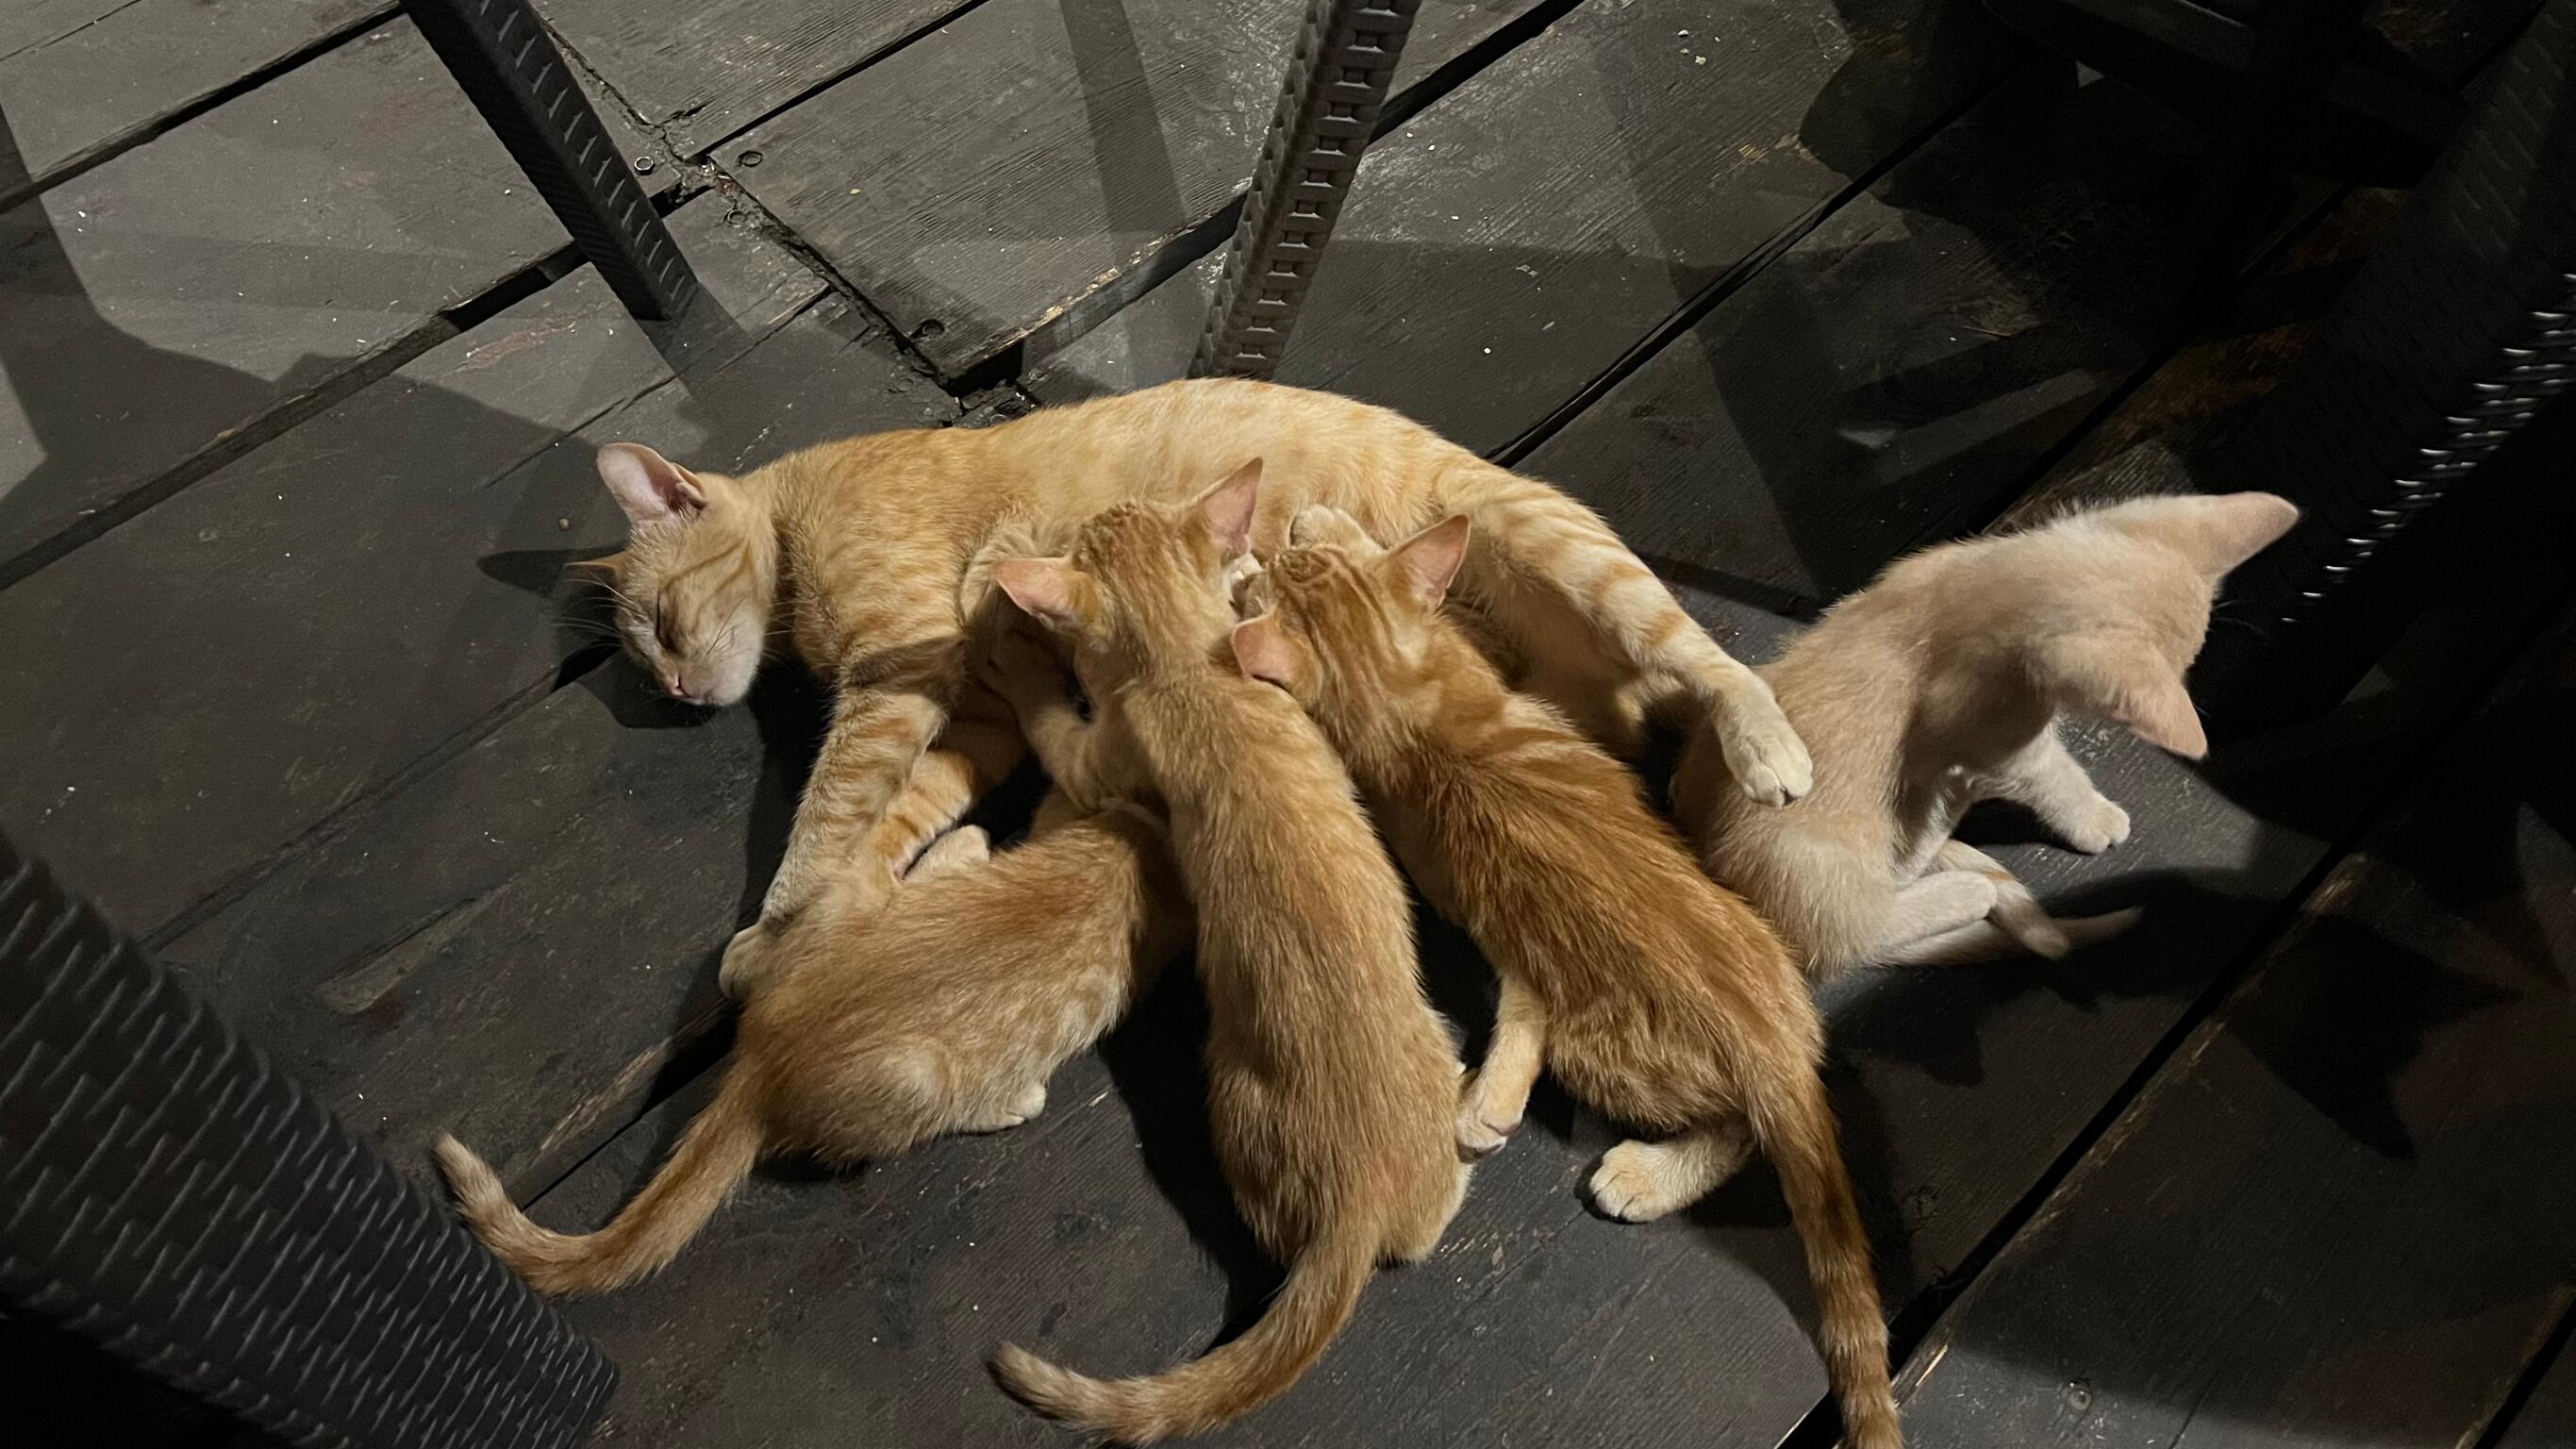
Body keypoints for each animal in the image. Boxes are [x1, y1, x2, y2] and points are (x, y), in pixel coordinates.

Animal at [576, 377, 1811, 987]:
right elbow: (899, 812)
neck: (798, 523)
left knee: (1709, 659)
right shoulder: (976, 715)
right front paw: (819, 923)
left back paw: (1768, 749)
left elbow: (829, 810)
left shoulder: (897, 671)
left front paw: (782, 916)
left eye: (663, 625)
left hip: (1577, 559)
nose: (674, 695)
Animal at [974, 465, 1468, 1443]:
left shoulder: (1097, 757)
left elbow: (1057, 724)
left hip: (1237, 1101)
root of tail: (1354, 1206)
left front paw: (1019, 656)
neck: (1189, 663)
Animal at [1232, 505, 1903, 1449]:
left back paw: (1642, 1178)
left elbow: (1521, 1013)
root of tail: (1770, 1039)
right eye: (1297, 564)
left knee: (1739, 1130)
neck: (1410, 692)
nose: (1283, 535)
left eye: (1276, 575)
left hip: (1608, 1055)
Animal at [1675, 492, 2300, 978]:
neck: (1970, 592)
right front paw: (2094, 817)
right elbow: (2056, 777)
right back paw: (1966, 885)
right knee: (1864, 927)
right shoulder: (2001, 744)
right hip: (1817, 868)